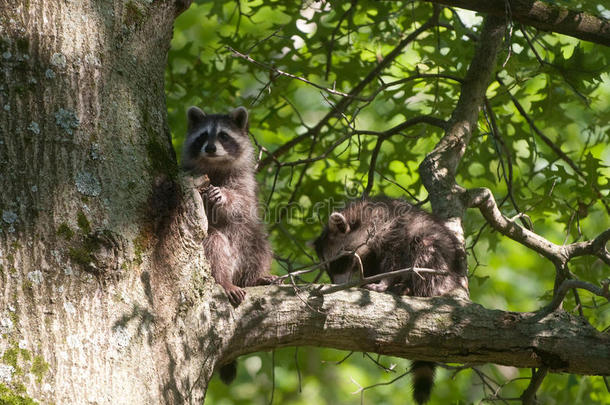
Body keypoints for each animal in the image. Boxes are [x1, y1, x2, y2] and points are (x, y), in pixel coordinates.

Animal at [180, 105, 276, 306]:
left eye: (223, 135)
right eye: (202, 135)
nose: (210, 148)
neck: (215, 164)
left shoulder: (245, 180)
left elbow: (244, 202)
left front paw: (224, 196)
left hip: (248, 238)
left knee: (260, 246)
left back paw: (256, 278)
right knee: (214, 246)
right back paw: (224, 281)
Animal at [314, 196, 466, 404]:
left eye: (340, 262)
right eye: (328, 270)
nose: (337, 285)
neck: (362, 220)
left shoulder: (394, 231)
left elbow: (394, 260)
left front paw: (384, 282)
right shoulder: (369, 255)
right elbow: (373, 266)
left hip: (438, 261)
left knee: (423, 251)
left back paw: (411, 288)